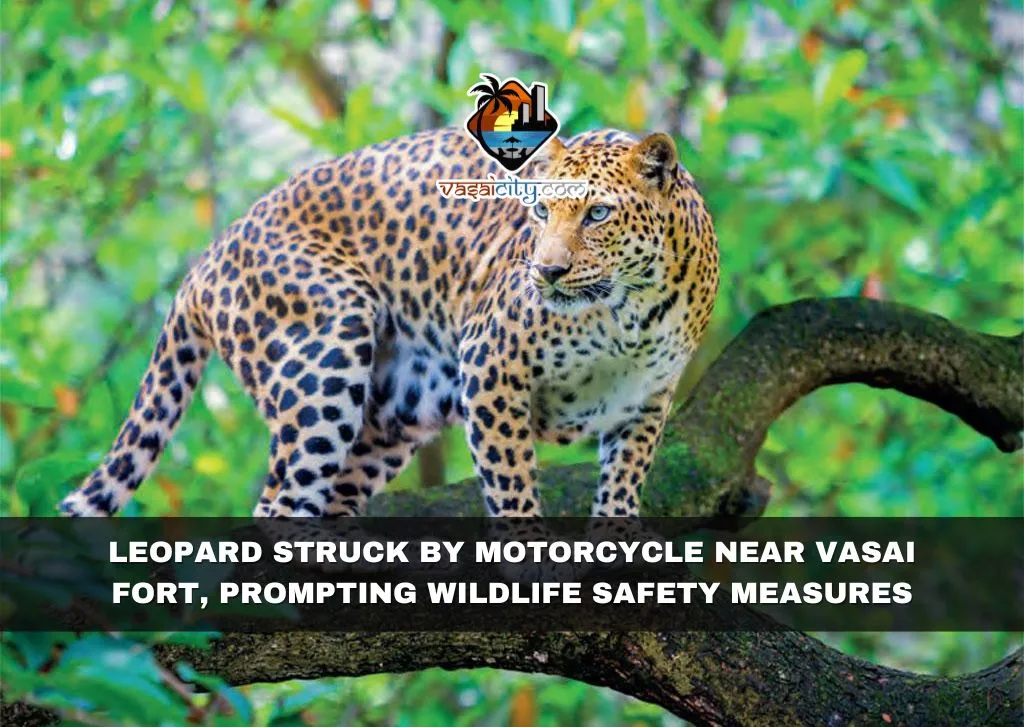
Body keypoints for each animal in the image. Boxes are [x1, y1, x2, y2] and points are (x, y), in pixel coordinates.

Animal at [58, 126, 719, 520]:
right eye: (539, 213)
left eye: (597, 214)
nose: (547, 271)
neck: (631, 311)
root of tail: (206, 259)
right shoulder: (490, 366)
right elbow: (512, 484)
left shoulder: (646, 401)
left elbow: (623, 484)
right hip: (323, 360)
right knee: (278, 503)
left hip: (394, 413)